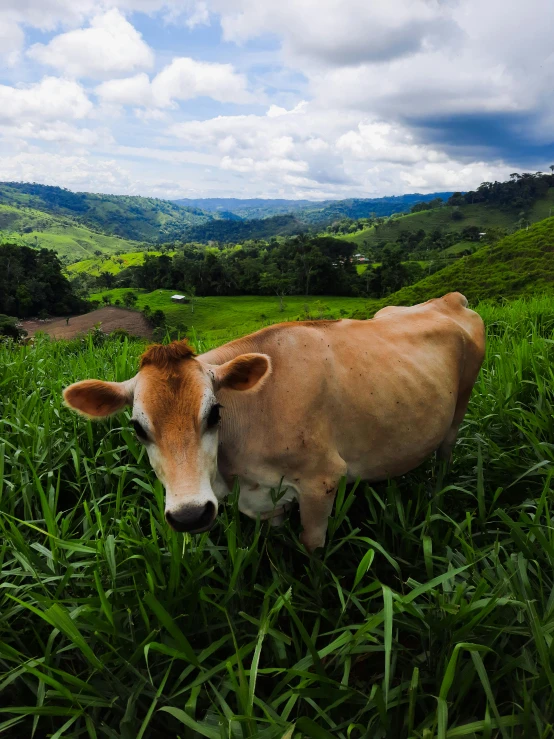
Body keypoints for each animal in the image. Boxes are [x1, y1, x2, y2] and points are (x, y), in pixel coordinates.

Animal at [61, 292, 484, 552]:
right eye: (138, 428)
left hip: (460, 404)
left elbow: (312, 548)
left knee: (446, 451)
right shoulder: (265, 501)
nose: (190, 514)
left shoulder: (321, 481)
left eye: (215, 413)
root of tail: (448, 298)